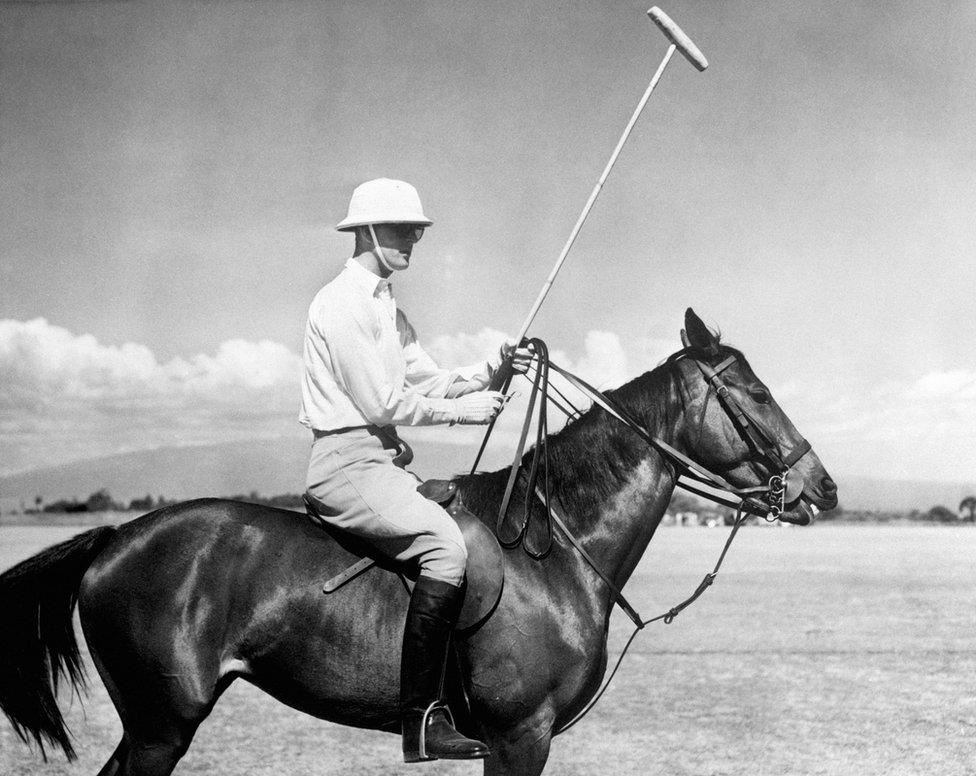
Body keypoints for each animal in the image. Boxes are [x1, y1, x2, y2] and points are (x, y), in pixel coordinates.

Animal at [0, 310, 840, 776]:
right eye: (757, 392)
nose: (823, 490)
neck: (557, 550)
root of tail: (113, 539)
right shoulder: (518, 737)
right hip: (161, 723)